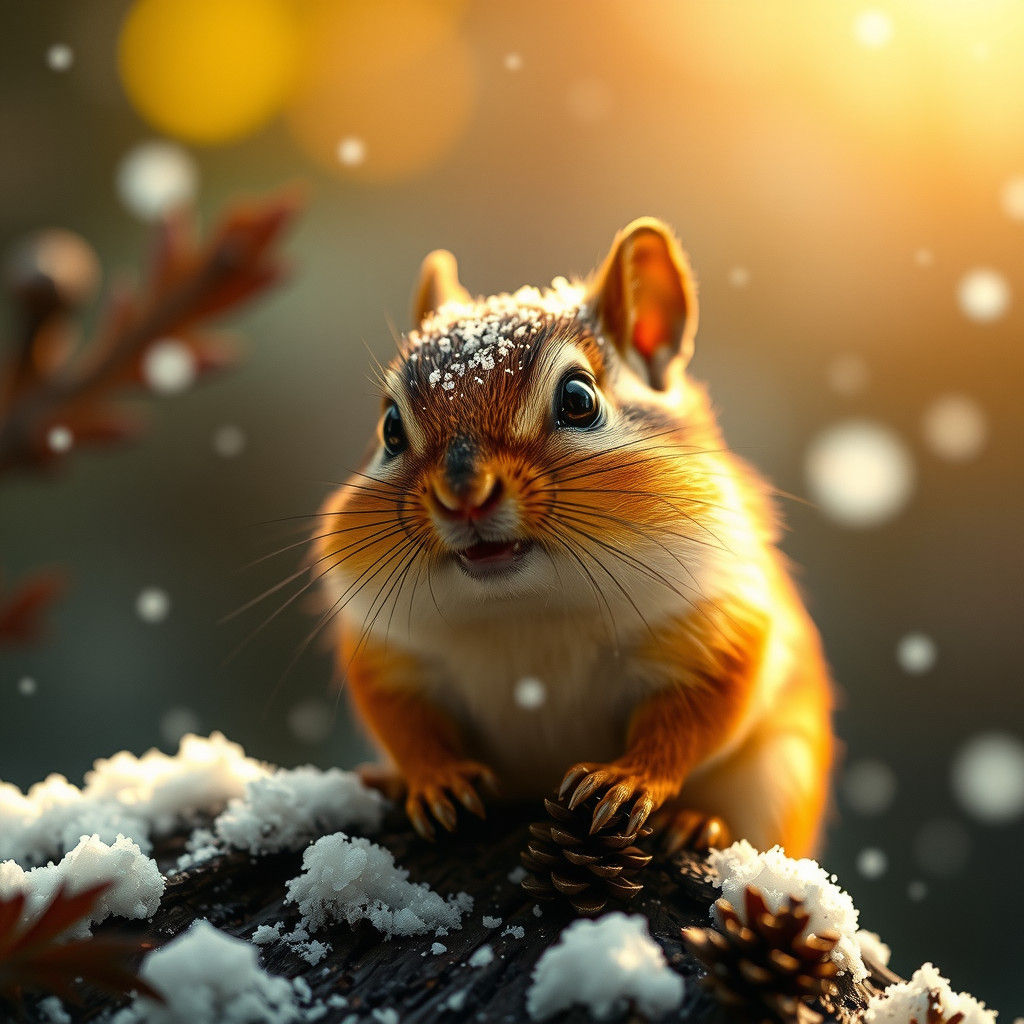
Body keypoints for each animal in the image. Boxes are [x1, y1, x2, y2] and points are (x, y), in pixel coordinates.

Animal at [315, 218, 834, 858]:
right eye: (390, 428)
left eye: (579, 400)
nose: (464, 493)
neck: (525, 612)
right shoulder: (391, 653)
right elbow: (404, 723)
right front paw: (434, 779)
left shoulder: (719, 625)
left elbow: (693, 717)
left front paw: (629, 779)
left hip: (779, 778)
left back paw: (698, 823)